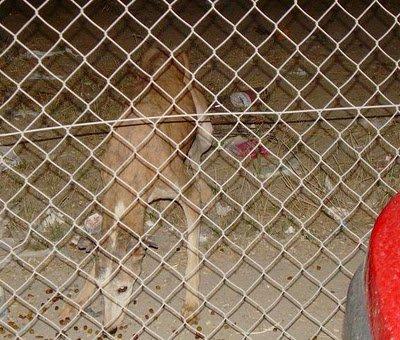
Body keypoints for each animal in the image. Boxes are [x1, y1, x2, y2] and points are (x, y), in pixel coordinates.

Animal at [59, 49, 212, 334]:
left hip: (205, 127)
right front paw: (75, 302)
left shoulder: (188, 197)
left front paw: (191, 303)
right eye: (101, 289)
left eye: (123, 288)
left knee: (197, 156)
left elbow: (192, 254)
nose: (109, 329)